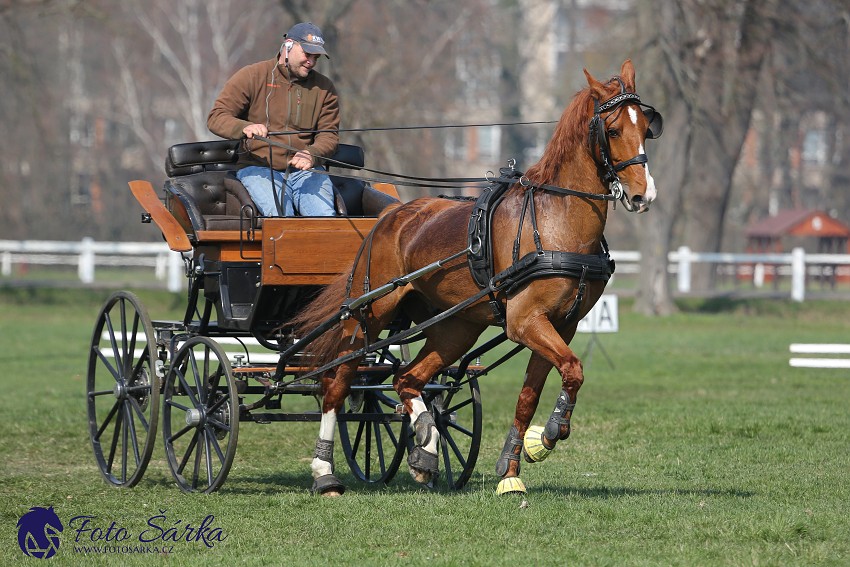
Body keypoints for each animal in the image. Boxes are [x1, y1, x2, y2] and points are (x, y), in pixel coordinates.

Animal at [294, 60, 660, 494]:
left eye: (647, 127)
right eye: (614, 130)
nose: (643, 195)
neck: (555, 219)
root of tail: (388, 216)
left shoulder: (559, 326)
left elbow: (532, 394)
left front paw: (516, 465)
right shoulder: (525, 321)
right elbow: (573, 369)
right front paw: (550, 433)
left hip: (456, 327)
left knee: (406, 379)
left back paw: (426, 447)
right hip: (368, 315)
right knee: (337, 383)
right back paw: (325, 472)